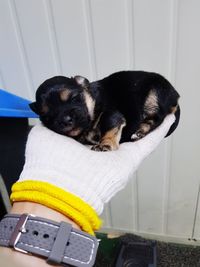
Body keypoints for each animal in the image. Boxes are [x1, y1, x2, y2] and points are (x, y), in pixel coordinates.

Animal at [29, 70, 180, 151]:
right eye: (46, 116)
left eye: (75, 98)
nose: (66, 120)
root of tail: (175, 95)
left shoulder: (111, 114)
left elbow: (109, 127)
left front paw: (105, 144)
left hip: (154, 95)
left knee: (156, 117)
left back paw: (140, 131)